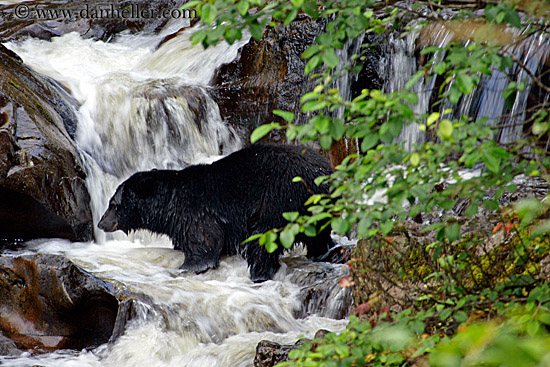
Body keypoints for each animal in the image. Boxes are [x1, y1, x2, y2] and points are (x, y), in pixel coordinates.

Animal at [99, 144, 336, 282]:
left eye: (114, 204)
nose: (101, 223)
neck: (169, 204)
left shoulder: (196, 213)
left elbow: (204, 244)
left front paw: (188, 267)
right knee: (319, 235)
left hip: (277, 199)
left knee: (263, 238)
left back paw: (259, 273)